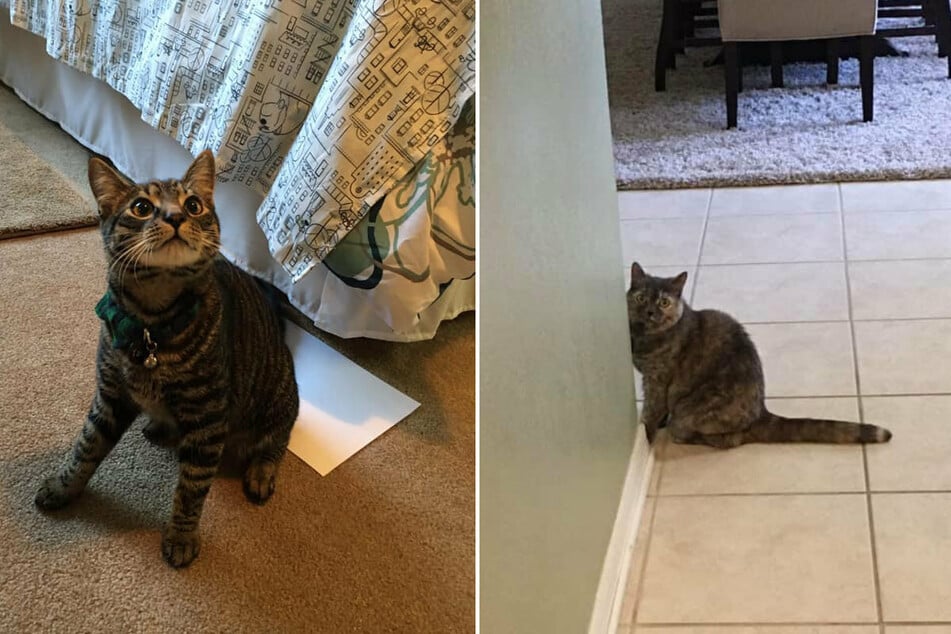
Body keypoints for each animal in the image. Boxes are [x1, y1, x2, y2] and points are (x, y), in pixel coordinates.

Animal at [35, 149, 300, 568]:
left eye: (193, 205)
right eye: (141, 207)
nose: (176, 216)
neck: (151, 325)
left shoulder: (208, 418)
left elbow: (192, 489)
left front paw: (181, 536)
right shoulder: (110, 396)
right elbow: (86, 446)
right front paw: (62, 487)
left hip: (278, 397)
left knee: (276, 440)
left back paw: (261, 471)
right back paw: (159, 426)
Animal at [624, 260, 892, 446]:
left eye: (664, 302)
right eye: (641, 298)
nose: (650, 312)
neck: (641, 336)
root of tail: (761, 412)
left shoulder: (657, 381)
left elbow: (652, 409)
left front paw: (646, 437)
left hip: (690, 410)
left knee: (730, 439)